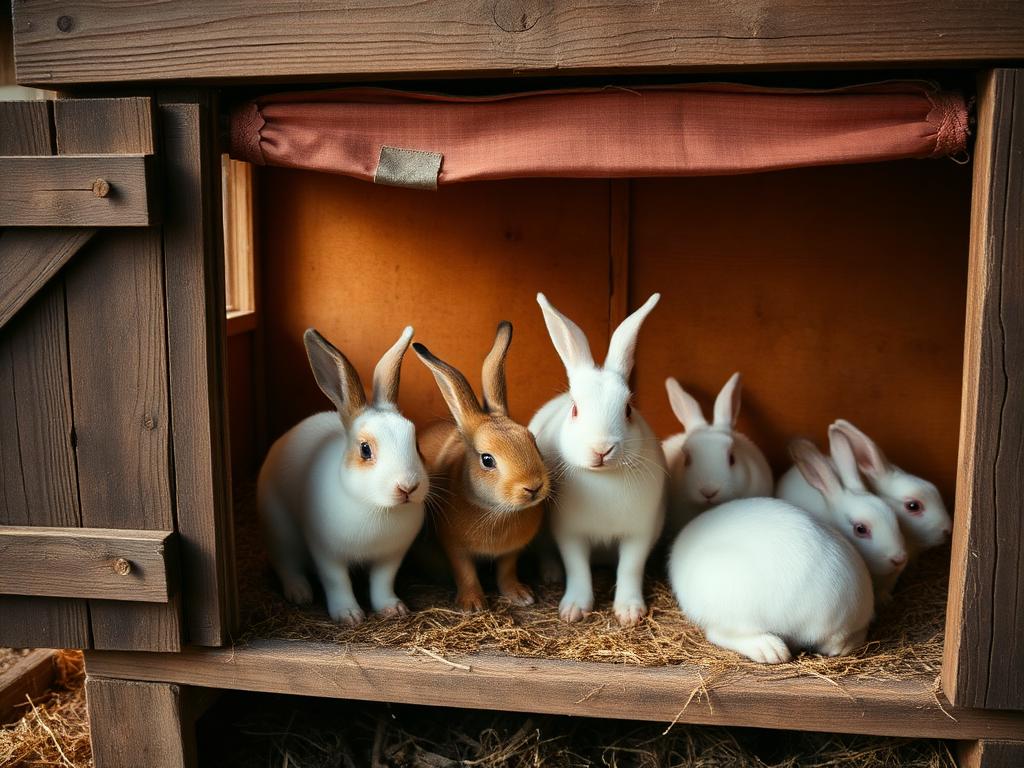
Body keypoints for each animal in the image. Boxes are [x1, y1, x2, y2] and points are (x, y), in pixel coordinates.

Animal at [258, 326, 428, 625]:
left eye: (416, 443)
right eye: (365, 450)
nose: (408, 487)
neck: (376, 507)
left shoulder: (390, 557)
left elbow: (382, 583)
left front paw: (393, 608)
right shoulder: (326, 553)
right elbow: (337, 582)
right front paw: (348, 615)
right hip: (279, 531)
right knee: (286, 564)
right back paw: (299, 593)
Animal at [413, 321, 551, 611]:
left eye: (533, 441)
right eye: (487, 460)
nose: (533, 487)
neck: (497, 511)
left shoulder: (511, 551)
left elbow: (506, 571)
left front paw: (520, 596)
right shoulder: (454, 548)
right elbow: (465, 572)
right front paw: (473, 604)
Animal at [529, 292, 667, 627]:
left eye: (628, 409)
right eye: (575, 409)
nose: (602, 448)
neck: (604, 478)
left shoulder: (639, 533)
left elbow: (630, 569)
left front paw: (629, 612)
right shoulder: (570, 534)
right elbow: (577, 569)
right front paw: (573, 609)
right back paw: (551, 575)